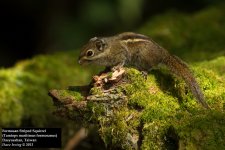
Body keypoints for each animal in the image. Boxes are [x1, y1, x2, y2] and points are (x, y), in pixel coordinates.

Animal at [78, 31, 209, 109]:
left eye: (89, 53)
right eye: (83, 47)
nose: (78, 61)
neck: (108, 49)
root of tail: (162, 53)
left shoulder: (121, 54)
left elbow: (121, 61)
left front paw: (116, 67)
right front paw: (105, 69)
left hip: (143, 58)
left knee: (149, 67)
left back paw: (144, 72)